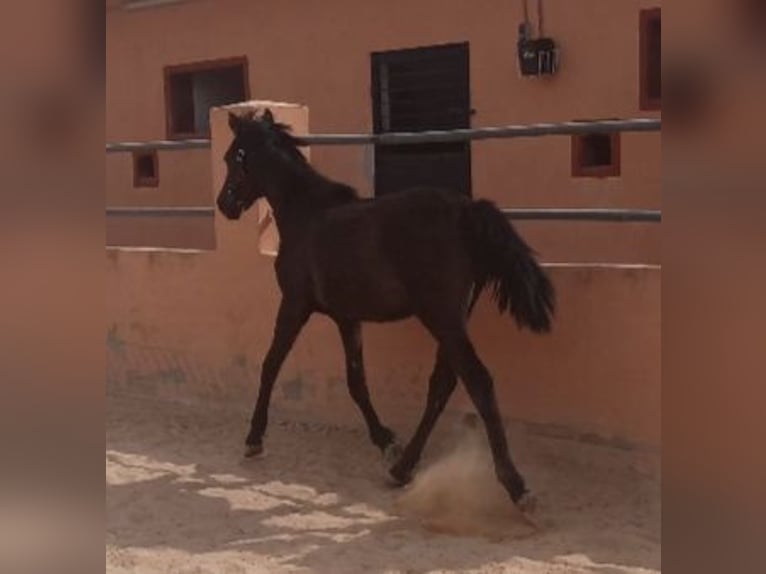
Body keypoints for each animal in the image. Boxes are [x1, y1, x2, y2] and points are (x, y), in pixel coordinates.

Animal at [218, 110, 560, 516]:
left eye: (231, 158)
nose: (224, 204)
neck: (305, 214)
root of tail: (466, 210)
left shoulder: (294, 305)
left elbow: (270, 365)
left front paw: (254, 439)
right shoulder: (347, 318)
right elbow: (356, 381)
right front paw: (385, 441)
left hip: (441, 318)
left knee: (478, 382)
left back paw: (516, 487)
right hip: (453, 321)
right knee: (442, 385)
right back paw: (402, 467)